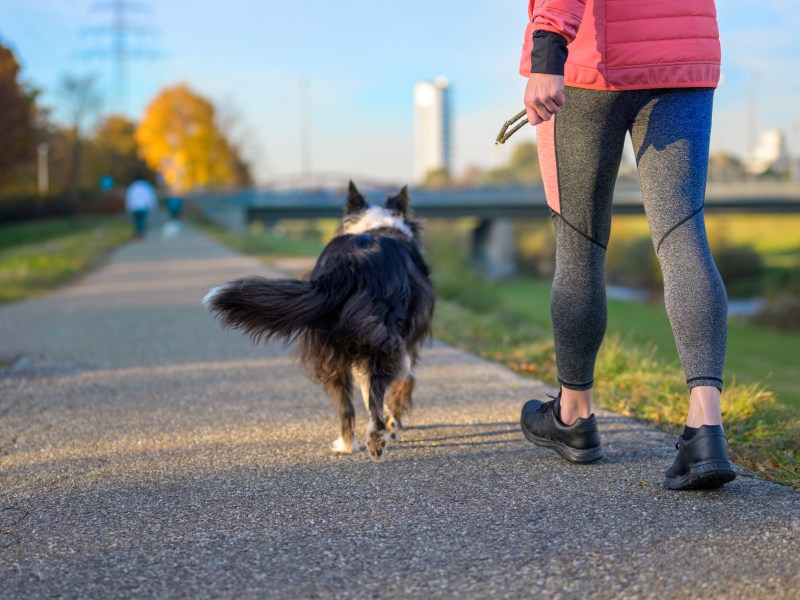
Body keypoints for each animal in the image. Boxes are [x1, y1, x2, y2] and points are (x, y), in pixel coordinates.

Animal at [203, 182, 434, 460]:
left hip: (329, 349)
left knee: (345, 406)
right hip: (381, 341)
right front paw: (394, 424)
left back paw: (346, 444)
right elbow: (399, 386)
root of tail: (348, 264)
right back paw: (377, 442)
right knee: (377, 390)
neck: (376, 225)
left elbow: (366, 393)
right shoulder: (406, 348)